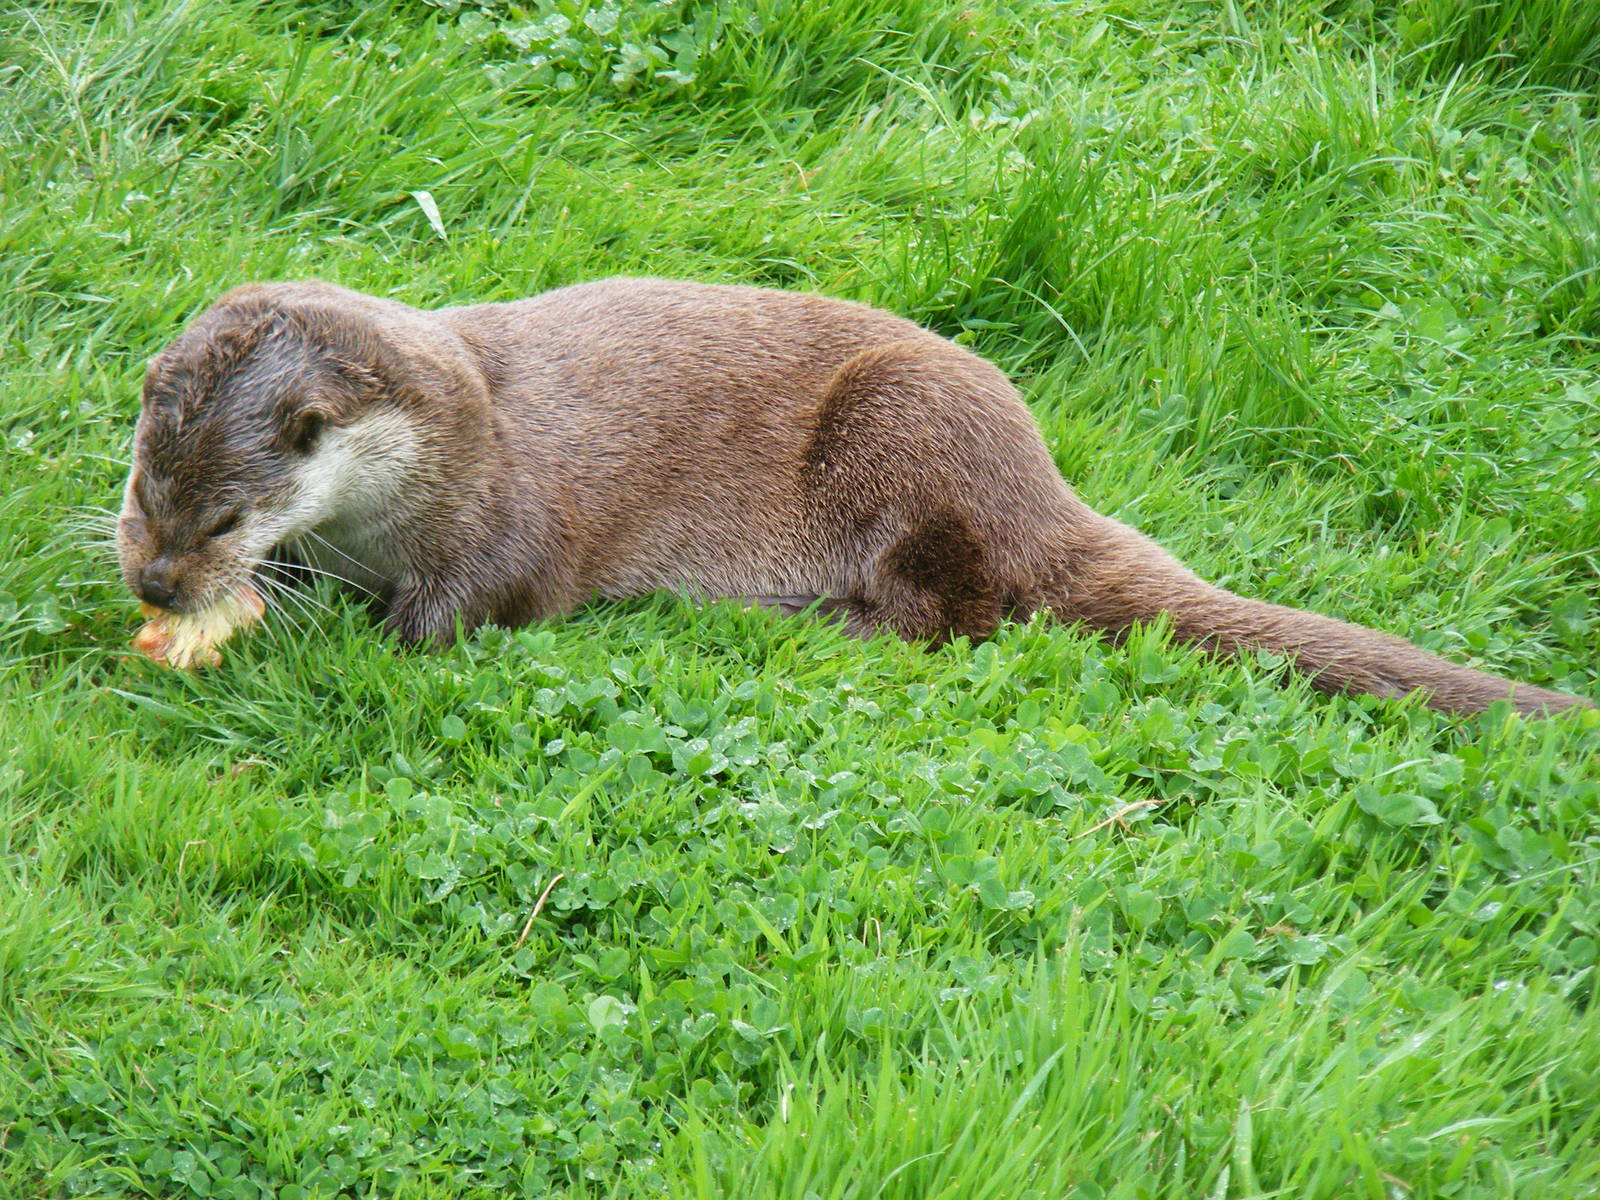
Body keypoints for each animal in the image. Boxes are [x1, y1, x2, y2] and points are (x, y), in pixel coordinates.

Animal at [117, 277, 1591, 716]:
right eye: (141, 488)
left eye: (221, 516)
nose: (152, 581)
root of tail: (1044, 486)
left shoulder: (514, 524)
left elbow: (476, 612)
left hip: (911, 438)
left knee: (953, 614)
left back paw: (798, 622)